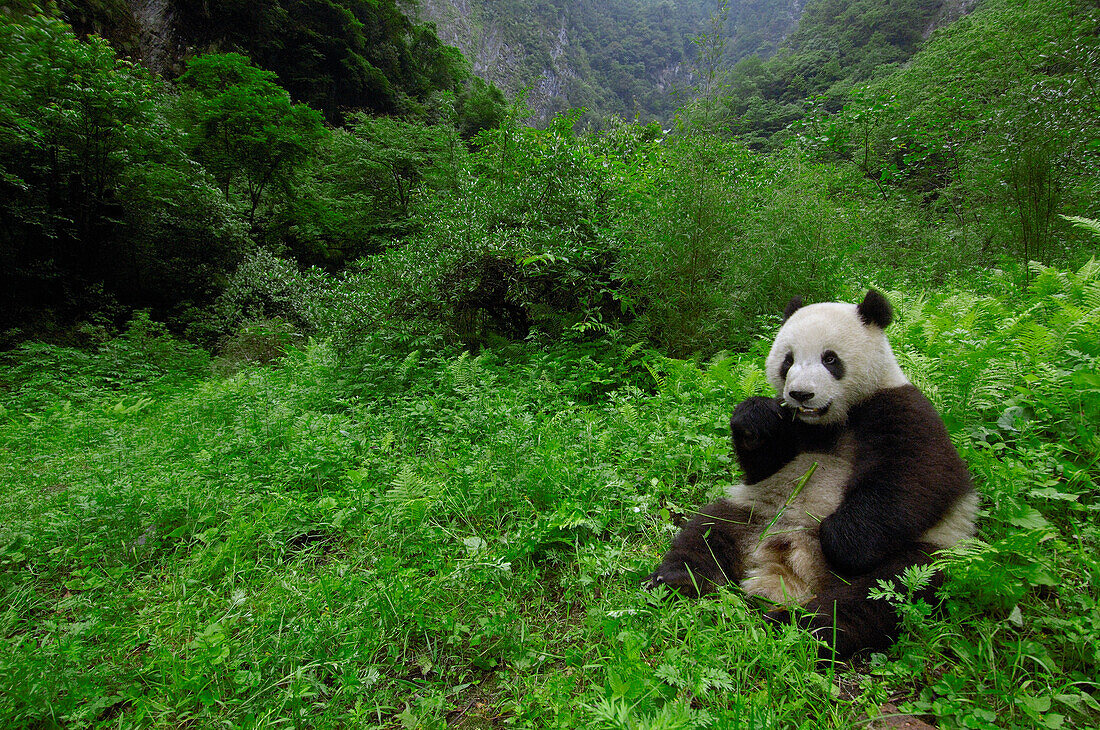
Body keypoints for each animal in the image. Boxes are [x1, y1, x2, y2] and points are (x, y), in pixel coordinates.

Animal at [646, 290, 976, 655]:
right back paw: (676, 580)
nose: (800, 394)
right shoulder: (792, 430)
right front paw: (754, 417)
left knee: (881, 592)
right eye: (788, 360)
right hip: (756, 512)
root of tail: (789, 572)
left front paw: (839, 537)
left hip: (925, 553)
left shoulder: (900, 408)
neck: (829, 421)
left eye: (830, 359)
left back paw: (802, 626)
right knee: (707, 532)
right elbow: (762, 467)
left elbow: (919, 478)